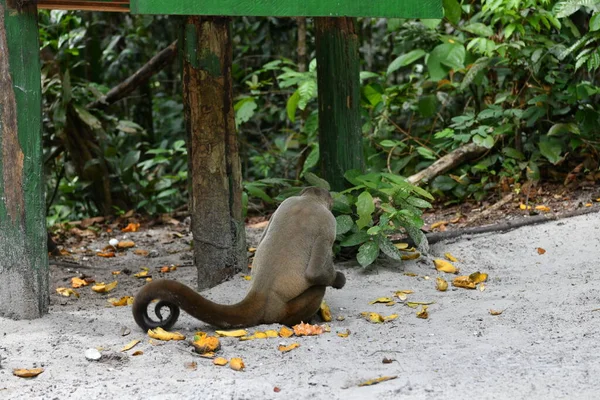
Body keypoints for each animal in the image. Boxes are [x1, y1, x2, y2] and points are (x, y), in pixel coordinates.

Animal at [133, 186, 344, 330]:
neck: (309, 201)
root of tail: (258, 293)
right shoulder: (329, 224)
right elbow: (315, 274)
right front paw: (339, 279)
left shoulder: (283, 205)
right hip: (285, 309)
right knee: (318, 287)